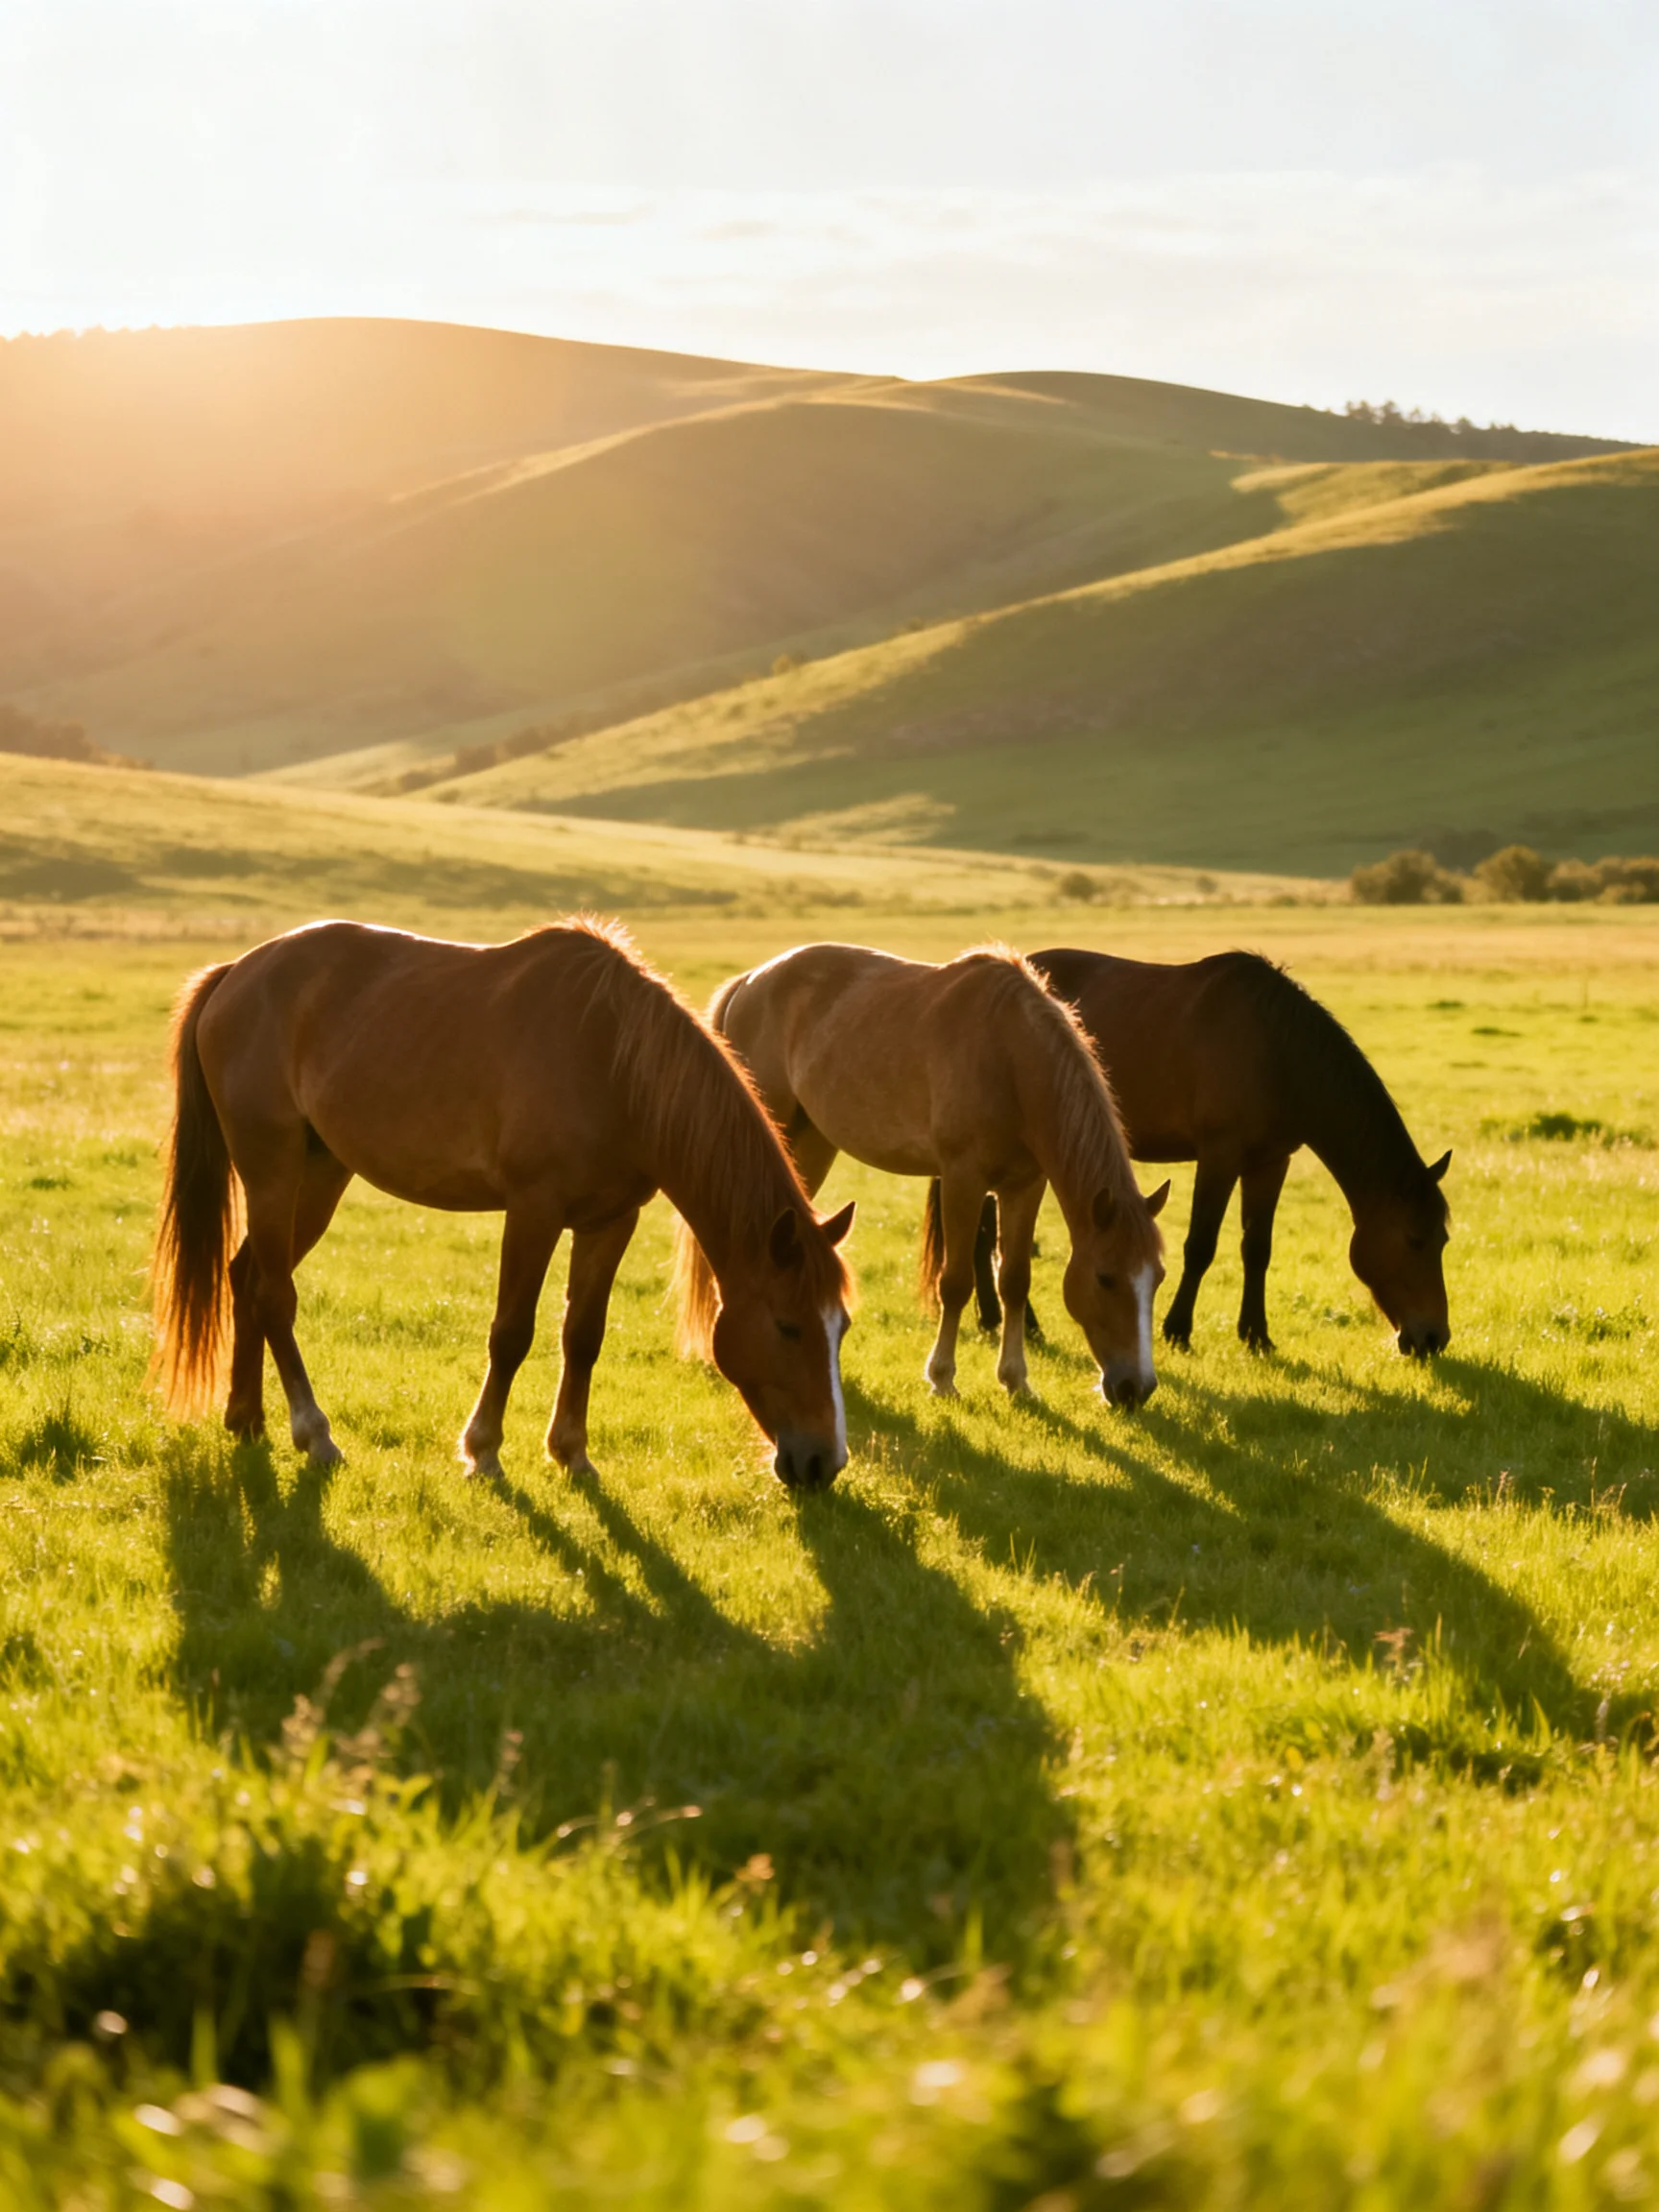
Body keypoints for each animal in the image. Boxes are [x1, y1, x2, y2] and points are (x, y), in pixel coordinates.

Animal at [151, 918, 856, 1490]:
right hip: (271, 1169)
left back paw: (246, 1419)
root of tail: (235, 974)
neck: (613, 1063)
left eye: (841, 1328)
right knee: (275, 1295)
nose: (823, 1462)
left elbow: (583, 1335)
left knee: (247, 1276)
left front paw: (571, 1452)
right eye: (787, 1326)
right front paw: (483, 1451)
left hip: (321, 1175)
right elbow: (512, 1333)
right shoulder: (533, 1210)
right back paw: (314, 1433)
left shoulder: (610, 1221)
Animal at [683, 942, 1169, 1407]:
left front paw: (1016, 1380)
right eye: (1106, 1277)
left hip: (811, 1144)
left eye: (1158, 1277)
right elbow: (954, 1283)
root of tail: (749, 982)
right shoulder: (962, 1180)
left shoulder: (1024, 1186)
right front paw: (942, 1379)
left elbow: (1014, 1280)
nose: (1136, 1388)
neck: (1009, 1055)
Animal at [946, 947, 1451, 1359]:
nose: (1433, 1338)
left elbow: (1257, 1248)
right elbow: (1201, 1245)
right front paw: (1177, 1330)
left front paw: (1256, 1334)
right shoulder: (1219, 1157)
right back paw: (1021, 1324)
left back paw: (993, 1318)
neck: (1276, 1051)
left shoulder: (1271, 1163)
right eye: (1414, 1240)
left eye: (1442, 1239)